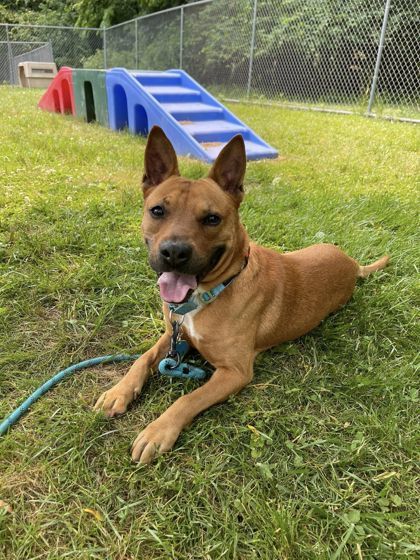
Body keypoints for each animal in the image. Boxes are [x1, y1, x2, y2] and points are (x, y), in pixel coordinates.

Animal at [93, 127, 388, 464]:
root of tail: (352, 263)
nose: (174, 253)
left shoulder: (234, 372)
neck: (208, 294)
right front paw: (118, 391)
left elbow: (188, 399)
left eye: (212, 218)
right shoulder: (172, 335)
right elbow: (141, 360)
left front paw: (157, 431)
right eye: (158, 210)